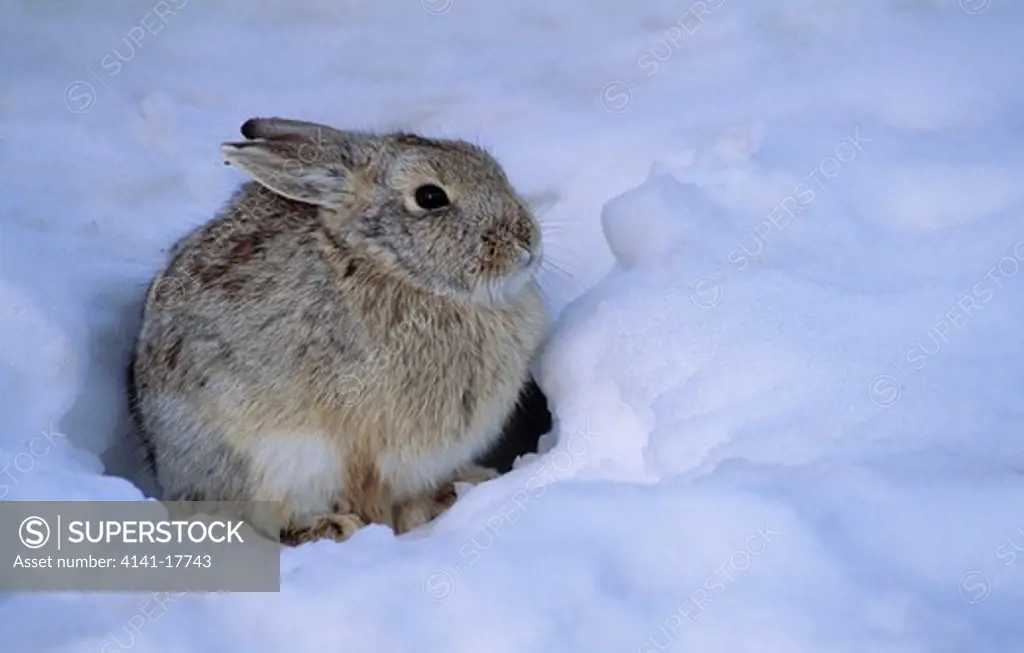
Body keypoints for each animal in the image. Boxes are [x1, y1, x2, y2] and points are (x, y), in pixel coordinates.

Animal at [129, 117, 548, 548]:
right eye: (430, 197)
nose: (525, 238)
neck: (392, 268)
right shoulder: (366, 444)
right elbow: (369, 491)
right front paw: (383, 526)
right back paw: (330, 527)